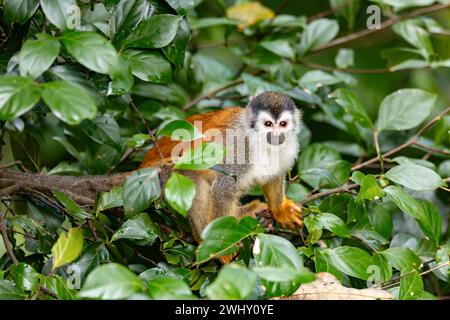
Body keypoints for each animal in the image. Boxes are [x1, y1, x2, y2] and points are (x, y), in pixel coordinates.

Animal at [141, 91, 302, 241]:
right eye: (268, 124)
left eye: (282, 124)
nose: (276, 134)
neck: (260, 141)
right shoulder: (241, 149)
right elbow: (224, 189)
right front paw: (218, 237)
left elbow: (275, 176)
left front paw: (280, 210)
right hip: (164, 177)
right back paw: (204, 234)